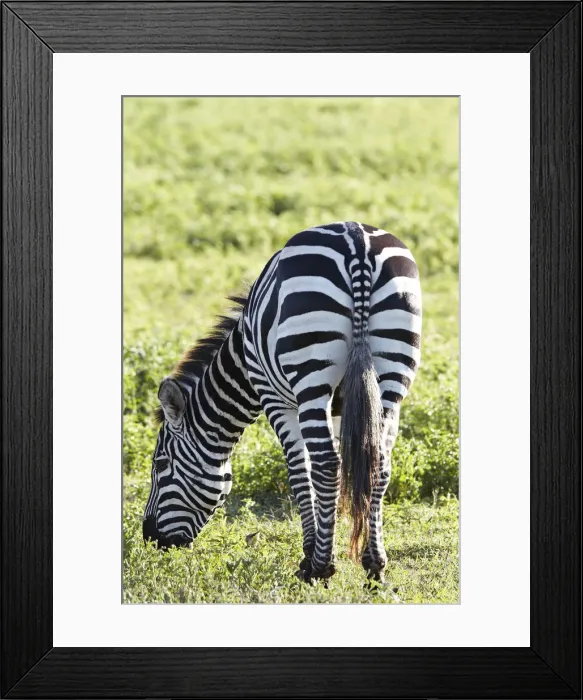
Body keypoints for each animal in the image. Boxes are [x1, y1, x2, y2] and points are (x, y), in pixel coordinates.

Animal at [143, 221, 421, 583]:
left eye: (160, 466)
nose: (149, 538)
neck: (242, 357)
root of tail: (357, 241)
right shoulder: (339, 407)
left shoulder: (275, 398)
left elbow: (300, 472)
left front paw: (310, 555)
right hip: (393, 375)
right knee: (379, 463)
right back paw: (375, 565)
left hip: (310, 370)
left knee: (326, 464)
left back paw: (320, 568)